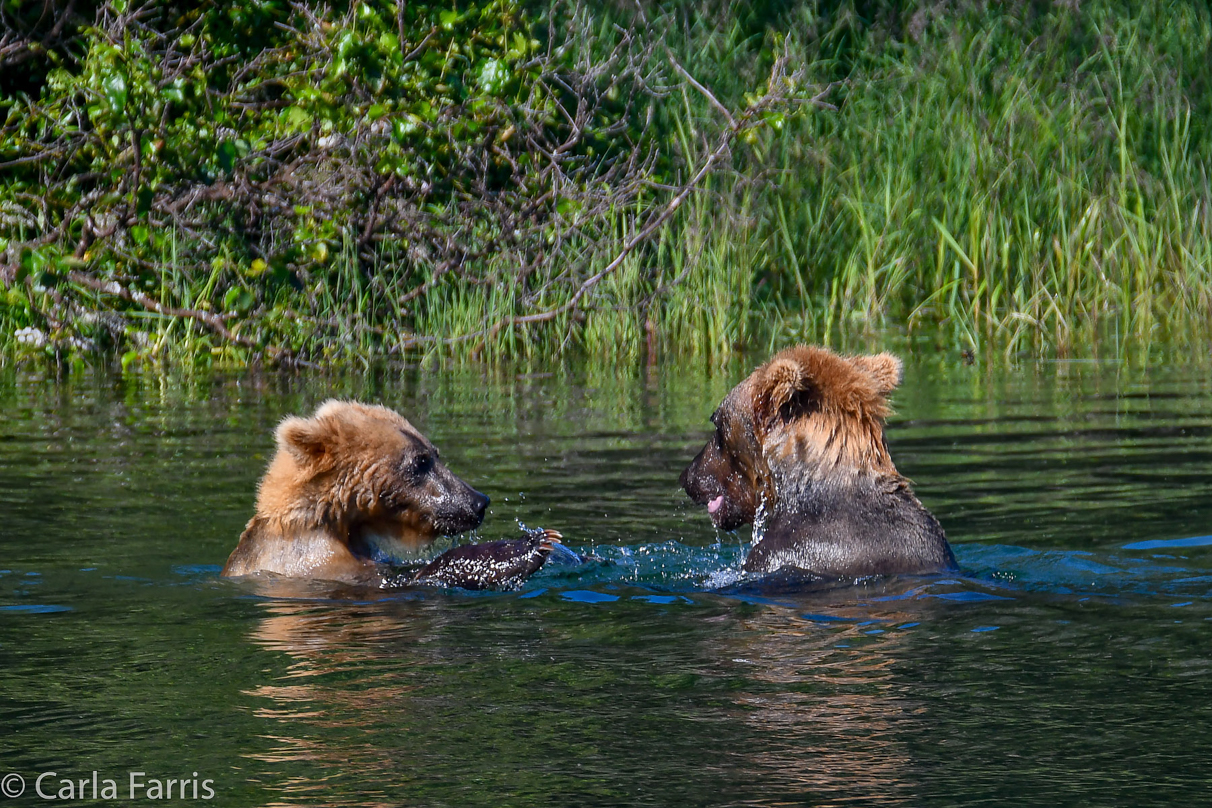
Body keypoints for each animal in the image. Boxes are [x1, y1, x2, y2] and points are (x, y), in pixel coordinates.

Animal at [223, 402, 557, 591]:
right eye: (420, 462)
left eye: (434, 453)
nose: (478, 501)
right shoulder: (315, 562)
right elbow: (412, 579)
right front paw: (527, 546)